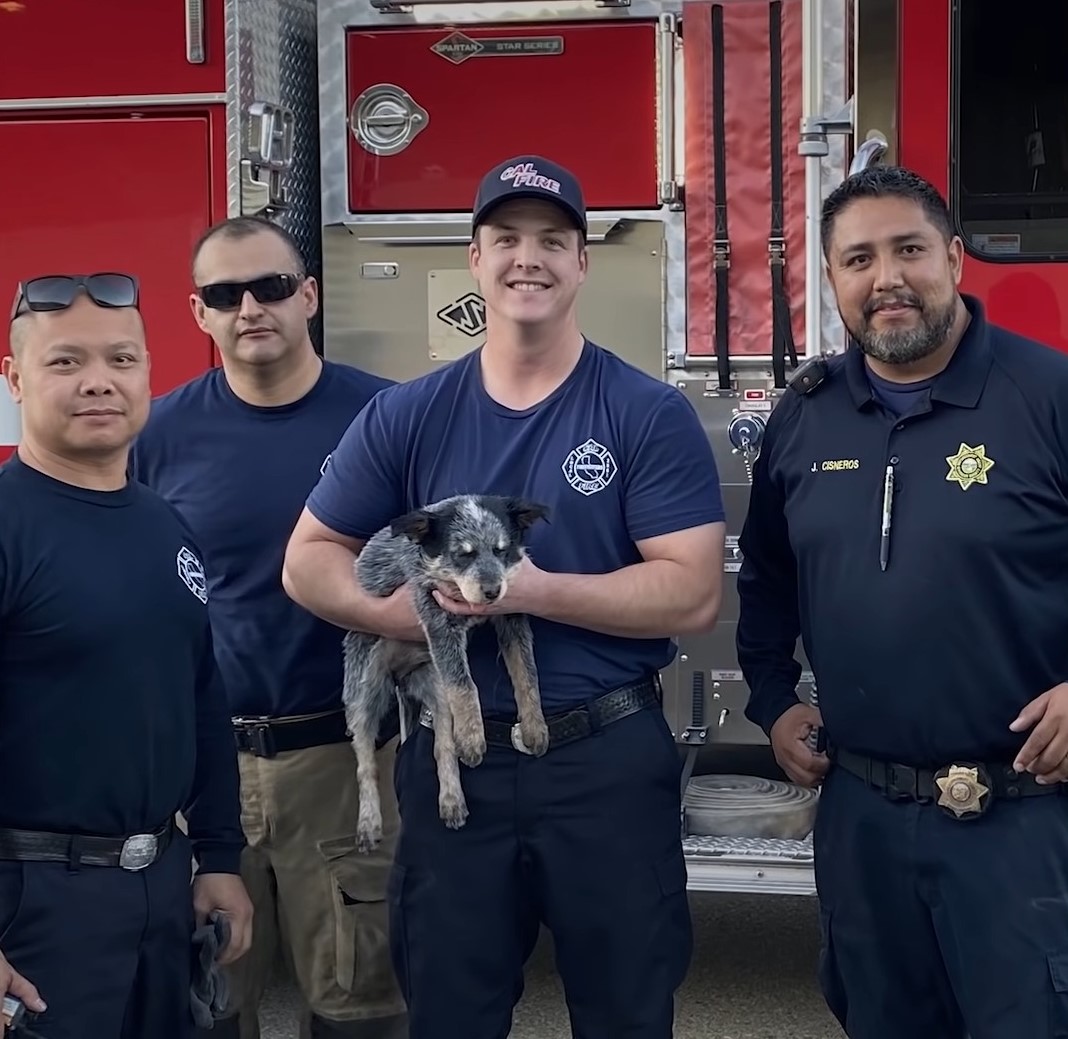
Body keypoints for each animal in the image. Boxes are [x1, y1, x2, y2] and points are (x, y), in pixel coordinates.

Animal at [341, 493, 551, 849]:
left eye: (502, 549)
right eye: (462, 554)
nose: (493, 591)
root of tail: (401, 679)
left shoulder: (513, 617)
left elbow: (526, 673)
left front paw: (535, 727)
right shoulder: (438, 621)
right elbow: (464, 683)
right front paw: (474, 737)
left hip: (434, 688)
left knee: (442, 747)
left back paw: (452, 801)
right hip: (364, 690)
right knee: (365, 761)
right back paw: (369, 824)